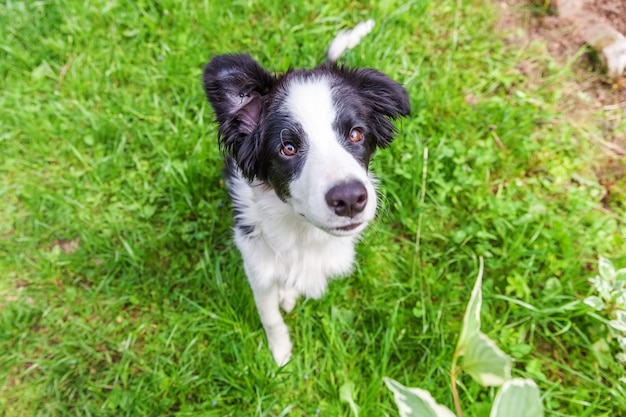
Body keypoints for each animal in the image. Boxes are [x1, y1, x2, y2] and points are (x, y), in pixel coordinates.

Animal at [202, 21, 410, 364]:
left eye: (356, 134)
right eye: (288, 148)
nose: (350, 199)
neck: (303, 235)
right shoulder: (256, 263)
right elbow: (270, 316)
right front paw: (281, 354)